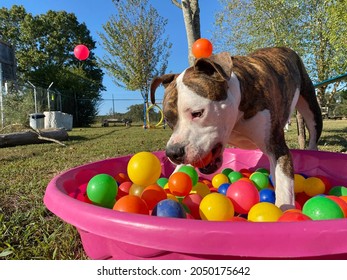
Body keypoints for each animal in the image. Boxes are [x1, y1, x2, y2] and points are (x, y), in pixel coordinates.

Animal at [150, 47, 324, 210]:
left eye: (197, 113)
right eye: (168, 120)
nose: (173, 152)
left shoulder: (277, 148)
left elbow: (284, 190)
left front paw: (285, 212)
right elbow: (180, 170)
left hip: (311, 108)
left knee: (313, 132)